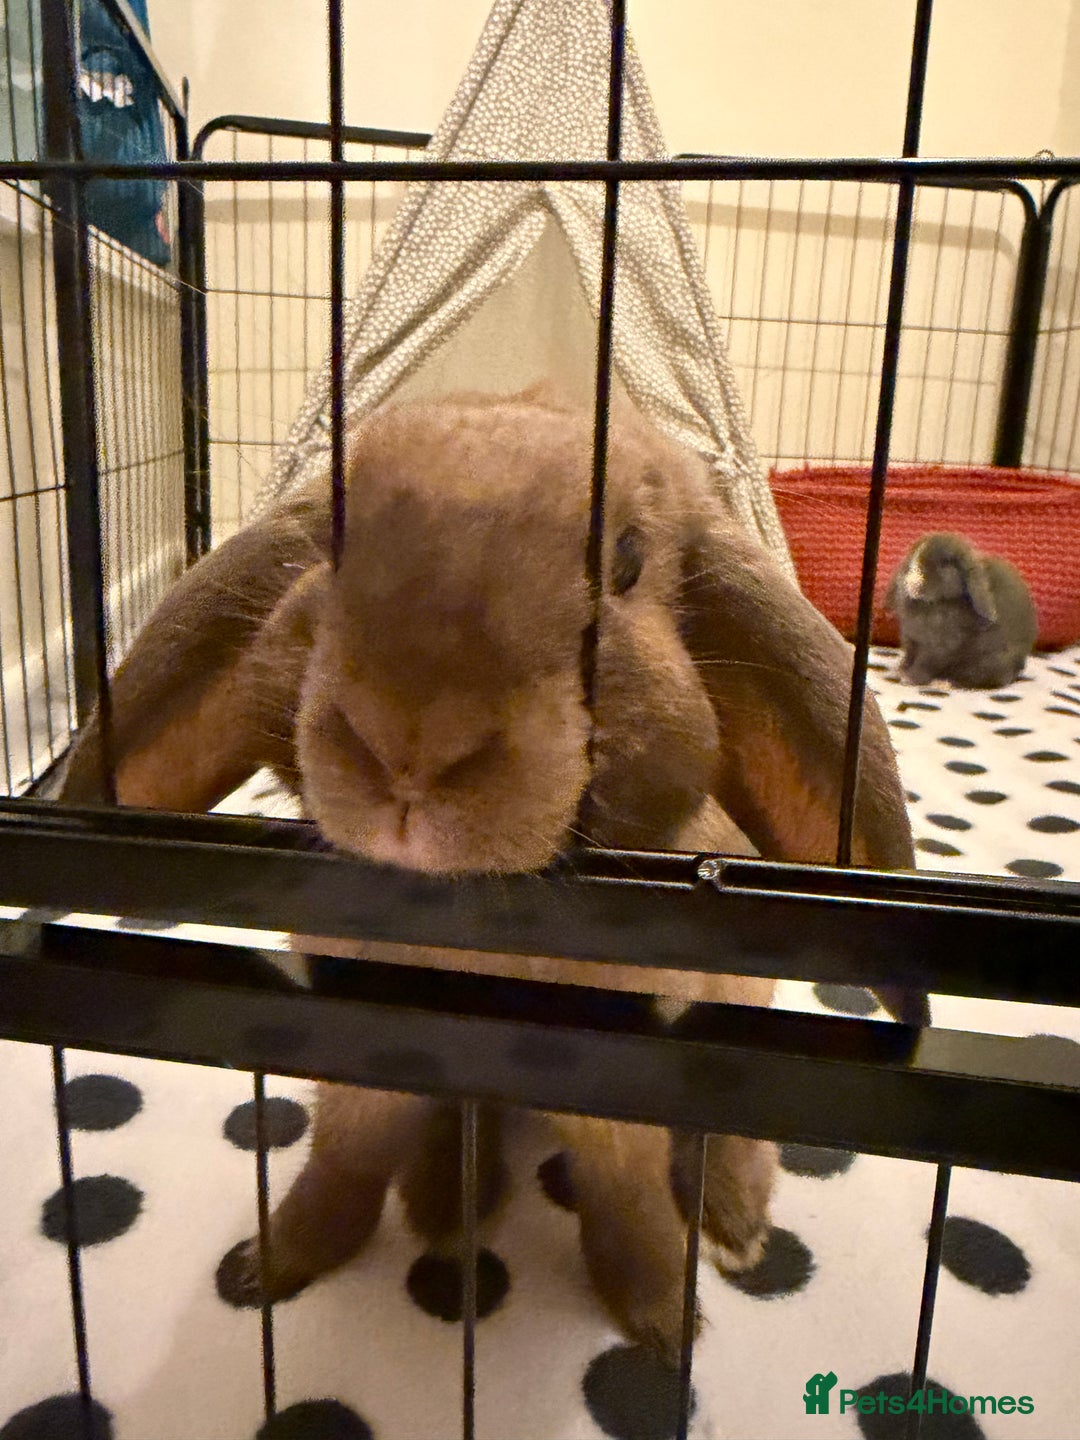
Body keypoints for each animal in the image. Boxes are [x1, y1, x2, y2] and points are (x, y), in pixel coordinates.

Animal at [60, 390, 922, 1361]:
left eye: (628, 562)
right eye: (328, 541)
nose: (410, 746)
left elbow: (624, 1191)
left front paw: (665, 1322)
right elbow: (343, 1159)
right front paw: (271, 1265)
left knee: (731, 1132)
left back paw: (734, 1228)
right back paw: (449, 1203)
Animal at [885, 531, 1039, 689]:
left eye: (946, 563)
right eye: (912, 556)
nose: (912, 582)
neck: (933, 604)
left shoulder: (940, 648)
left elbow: (924, 662)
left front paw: (910, 678)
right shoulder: (910, 640)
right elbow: (908, 656)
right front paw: (901, 670)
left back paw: (944, 683)